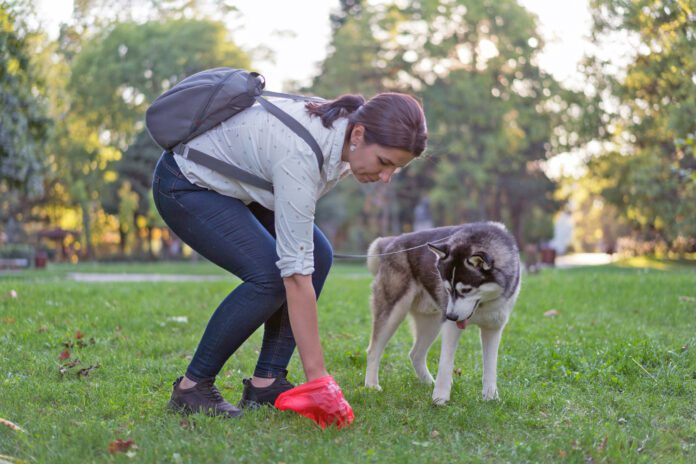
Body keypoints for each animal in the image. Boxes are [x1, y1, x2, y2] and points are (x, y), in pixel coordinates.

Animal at [364, 221, 520, 402]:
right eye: (447, 289)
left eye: (466, 290)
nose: (450, 316)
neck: (483, 306)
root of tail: (392, 241)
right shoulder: (451, 327)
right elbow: (445, 364)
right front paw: (440, 398)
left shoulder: (493, 328)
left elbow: (490, 366)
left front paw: (490, 397)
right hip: (394, 313)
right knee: (373, 350)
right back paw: (371, 385)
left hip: (432, 322)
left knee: (415, 354)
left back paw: (428, 382)